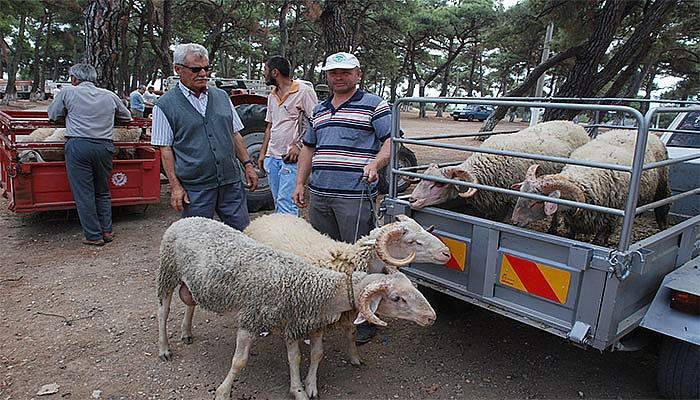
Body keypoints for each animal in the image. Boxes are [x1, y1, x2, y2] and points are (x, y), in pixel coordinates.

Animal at [157, 219, 438, 400]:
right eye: (397, 298)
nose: (431, 316)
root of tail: (188, 218)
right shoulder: (253, 319)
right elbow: (239, 361)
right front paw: (223, 392)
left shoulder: (301, 321)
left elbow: (304, 357)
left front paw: (303, 388)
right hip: (167, 272)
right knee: (163, 311)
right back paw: (164, 349)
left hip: (190, 280)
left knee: (190, 302)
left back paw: (186, 332)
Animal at [243, 212, 452, 368]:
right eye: (411, 241)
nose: (447, 253)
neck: (348, 262)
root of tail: (266, 216)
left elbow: (351, 333)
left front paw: (355, 358)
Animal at [512, 130, 668, 245]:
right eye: (520, 194)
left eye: (537, 202)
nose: (514, 221)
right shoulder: (573, 220)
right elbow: (571, 235)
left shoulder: (610, 219)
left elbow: (599, 238)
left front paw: (599, 243)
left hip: (662, 185)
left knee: (662, 207)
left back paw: (663, 227)